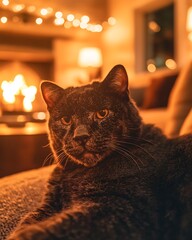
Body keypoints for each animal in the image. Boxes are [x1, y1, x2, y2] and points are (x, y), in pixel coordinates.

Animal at [8, 64, 192, 239]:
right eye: (66, 120)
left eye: (102, 113)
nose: (81, 136)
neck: (75, 174)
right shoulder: (49, 204)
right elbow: (28, 220)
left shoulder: (119, 207)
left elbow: (54, 227)